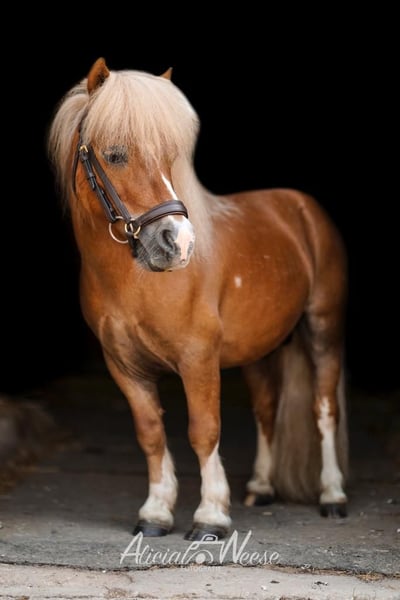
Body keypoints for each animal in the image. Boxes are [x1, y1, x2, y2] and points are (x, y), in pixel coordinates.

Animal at [47, 57, 349, 541]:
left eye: (169, 155)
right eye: (115, 154)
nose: (179, 244)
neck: (133, 281)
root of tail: (301, 207)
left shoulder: (198, 359)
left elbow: (204, 431)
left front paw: (211, 516)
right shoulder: (123, 366)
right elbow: (150, 431)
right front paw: (155, 512)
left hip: (323, 329)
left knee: (324, 408)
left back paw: (333, 496)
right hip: (259, 351)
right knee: (266, 409)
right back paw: (260, 488)